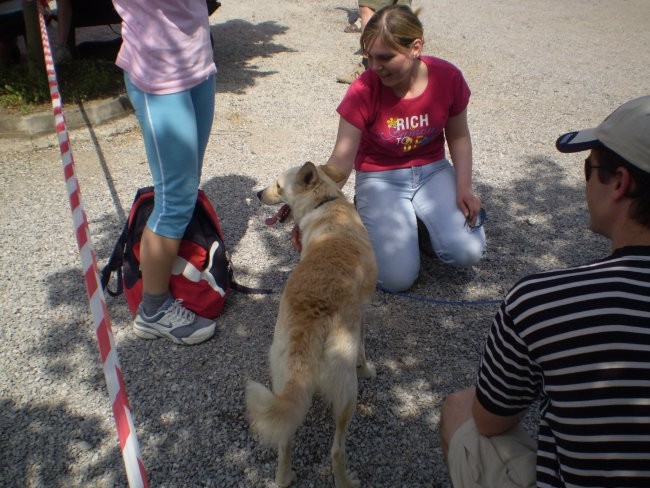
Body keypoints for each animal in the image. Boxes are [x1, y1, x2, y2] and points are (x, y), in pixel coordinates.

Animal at [244, 163, 378, 488]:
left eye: (278, 186)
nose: (258, 193)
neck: (326, 202)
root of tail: (308, 328)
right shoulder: (361, 316)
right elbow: (363, 350)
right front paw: (368, 370)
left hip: (280, 381)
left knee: (284, 440)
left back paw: (283, 478)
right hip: (347, 394)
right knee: (336, 450)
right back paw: (345, 481)